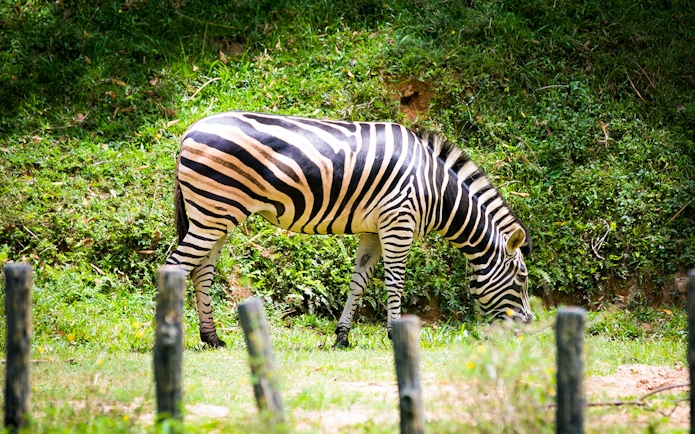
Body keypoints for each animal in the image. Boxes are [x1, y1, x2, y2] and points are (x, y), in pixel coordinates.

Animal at [164, 111, 532, 348]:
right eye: (522, 279)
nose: (528, 328)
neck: (435, 189)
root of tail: (189, 130)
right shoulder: (398, 221)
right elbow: (395, 282)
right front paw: (394, 334)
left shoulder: (374, 230)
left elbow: (359, 282)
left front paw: (342, 336)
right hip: (213, 211)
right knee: (176, 266)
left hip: (216, 215)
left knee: (201, 271)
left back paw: (212, 338)